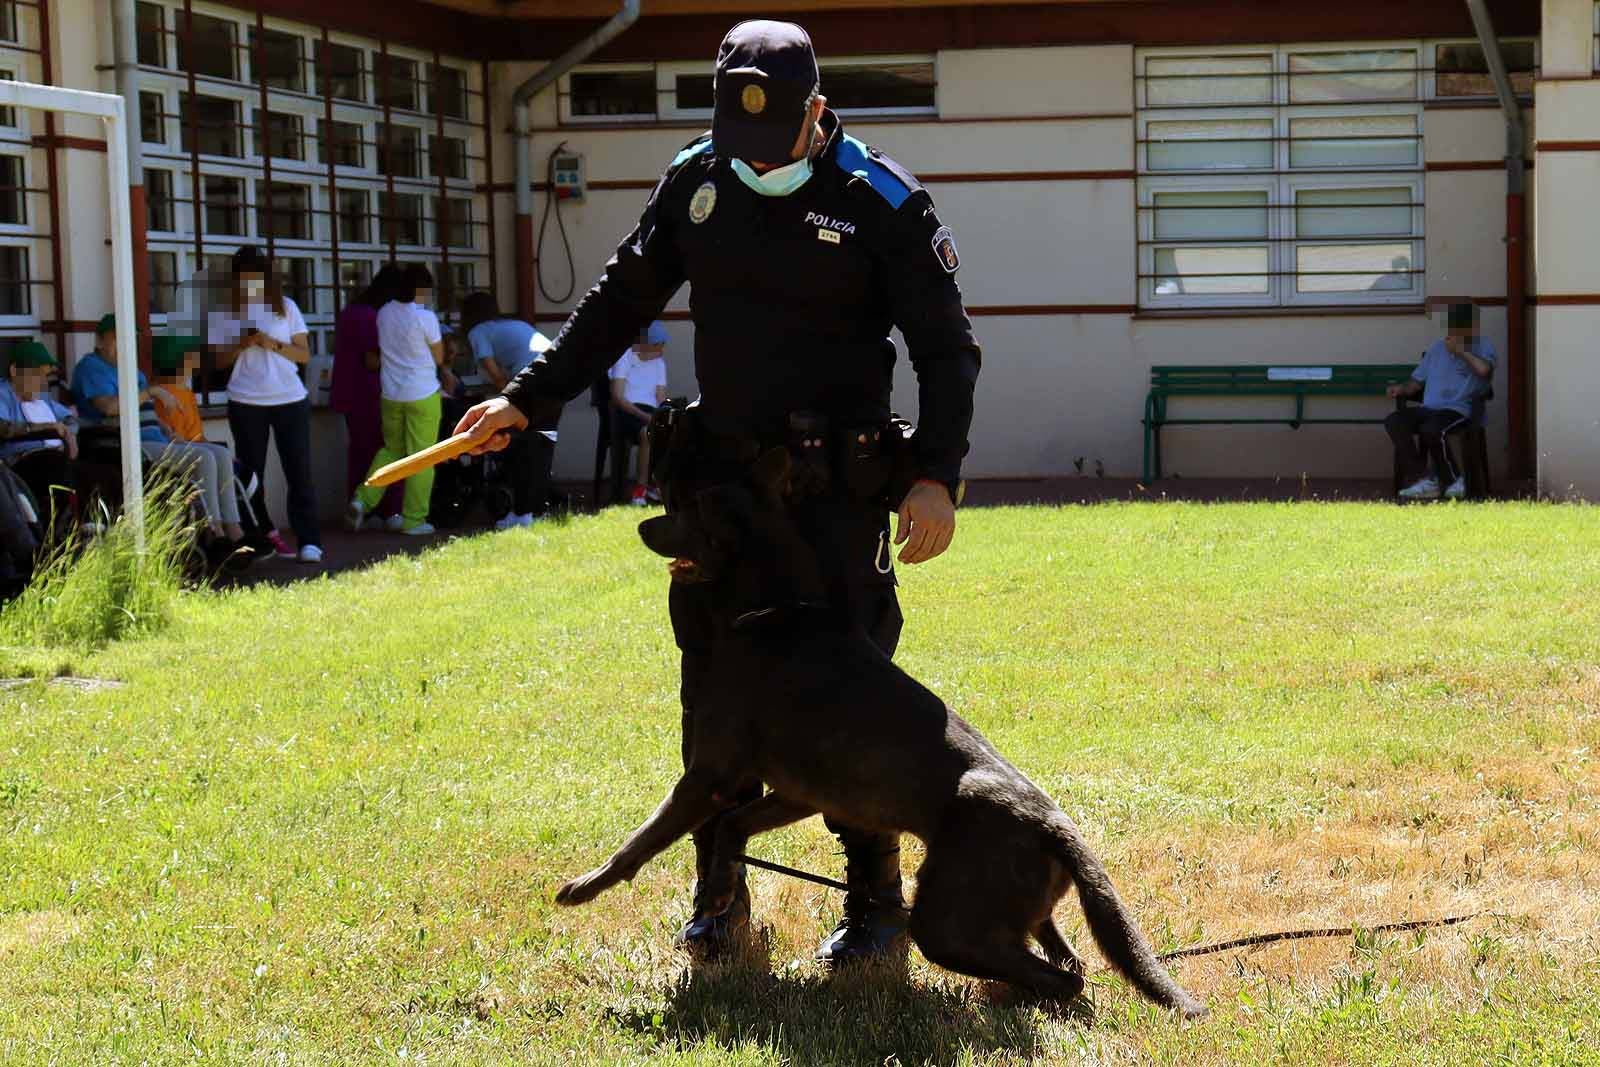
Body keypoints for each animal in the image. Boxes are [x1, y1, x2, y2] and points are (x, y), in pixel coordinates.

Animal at [556, 454, 1203, 1017]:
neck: (777, 608)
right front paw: (716, 891)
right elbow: (732, 827)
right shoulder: (800, 792)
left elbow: (648, 837)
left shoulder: (710, 772)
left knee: (1058, 976)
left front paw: (585, 887)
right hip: (1014, 910)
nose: (640, 521)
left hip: (945, 920)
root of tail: (1059, 831)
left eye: (690, 509)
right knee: (1067, 963)